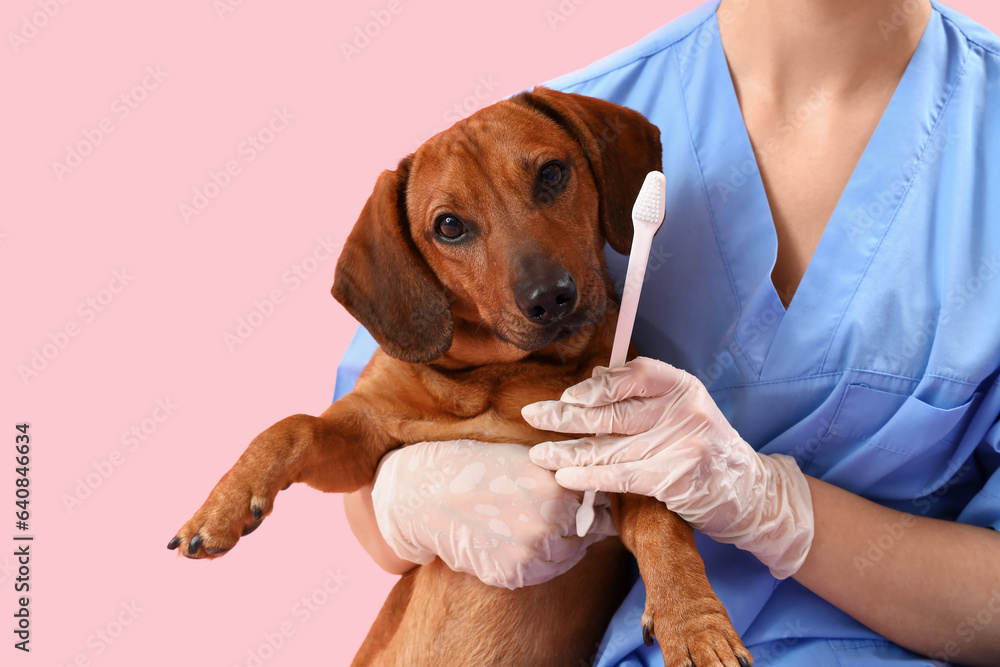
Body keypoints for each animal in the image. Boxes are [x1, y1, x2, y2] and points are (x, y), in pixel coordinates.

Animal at [172, 88, 752, 667]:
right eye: (449, 226)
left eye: (552, 174)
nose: (549, 298)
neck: (502, 371)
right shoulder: (363, 439)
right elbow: (292, 426)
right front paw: (220, 506)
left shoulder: (624, 458)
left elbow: (662, 528)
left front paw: (693, 623)